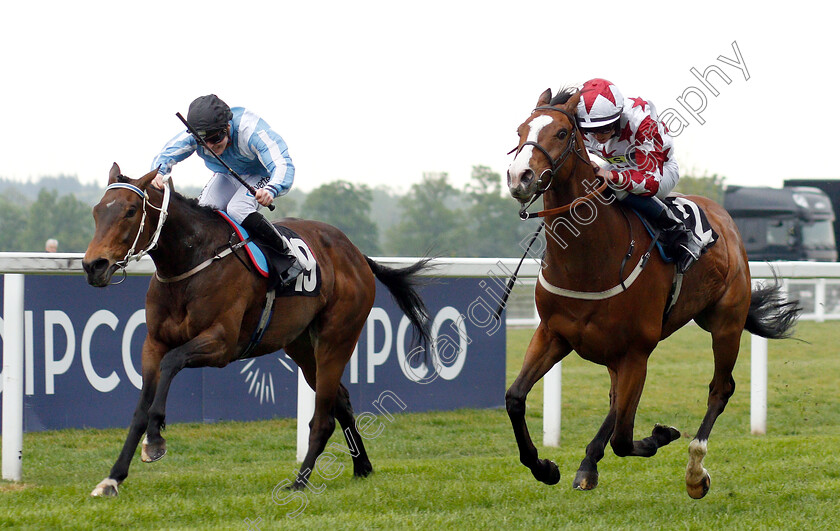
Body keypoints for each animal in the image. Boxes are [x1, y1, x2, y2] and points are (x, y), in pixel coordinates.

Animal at [82, 163, 430, 498]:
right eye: (97, 211)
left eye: (130, 211)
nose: (93, 265)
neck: (192, 261)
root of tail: (356, 254)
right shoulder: (153, 344)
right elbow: (140, 409)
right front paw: (113, 478)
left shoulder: (221, 343)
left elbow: (172, 363)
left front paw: (155, 440)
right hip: (302, 346)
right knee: (341, 401)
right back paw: (362, 467)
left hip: (337, 338)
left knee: (323, 418)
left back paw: (299, 482)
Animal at [502, 87, 796, 498]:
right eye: (520, 131)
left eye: (561, 133)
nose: (520, 176)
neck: (589, 260)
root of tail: (725, 219)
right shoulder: (554, 334)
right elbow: (515, 398)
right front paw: (544, 467)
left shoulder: (637, 350)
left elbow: (624, 439)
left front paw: (663, 434)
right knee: (615, 403)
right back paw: (589, 464)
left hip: (725, 324)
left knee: (720, 389)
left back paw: (694, 471)